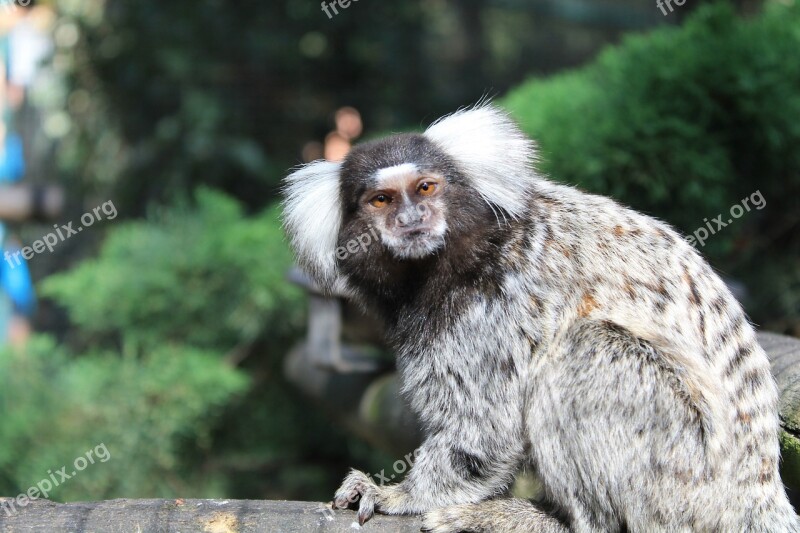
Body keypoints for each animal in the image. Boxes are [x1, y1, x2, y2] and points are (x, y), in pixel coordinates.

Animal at [282, 105, 800, 532]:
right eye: (382, 201)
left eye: (425, 187)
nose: (412, 220)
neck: (459, 256)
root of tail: (757, 494)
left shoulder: (492, 308)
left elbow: (483, 431)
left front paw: (397, 493)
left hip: (686, 477)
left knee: (586, 347)